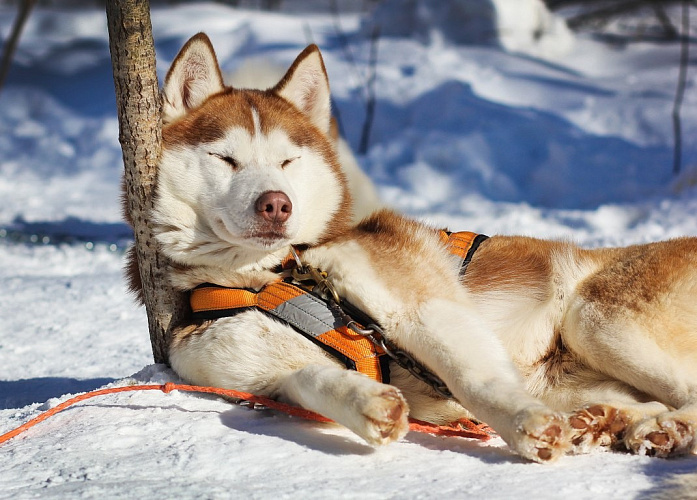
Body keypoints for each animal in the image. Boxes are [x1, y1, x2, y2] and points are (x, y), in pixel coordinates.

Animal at [137, 34, 696, 460]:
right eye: (225, 158)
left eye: (287, 161)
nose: (276, 204)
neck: (272, 276)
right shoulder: (255, 377)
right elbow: (310, 380)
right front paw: (368, 405)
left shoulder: (424, 310)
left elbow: (476, 381)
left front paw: (524, 425)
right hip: (575, 371)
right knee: (647, 401)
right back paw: (614, 422)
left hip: (594, 316)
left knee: (686, 390)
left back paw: (664, 428)